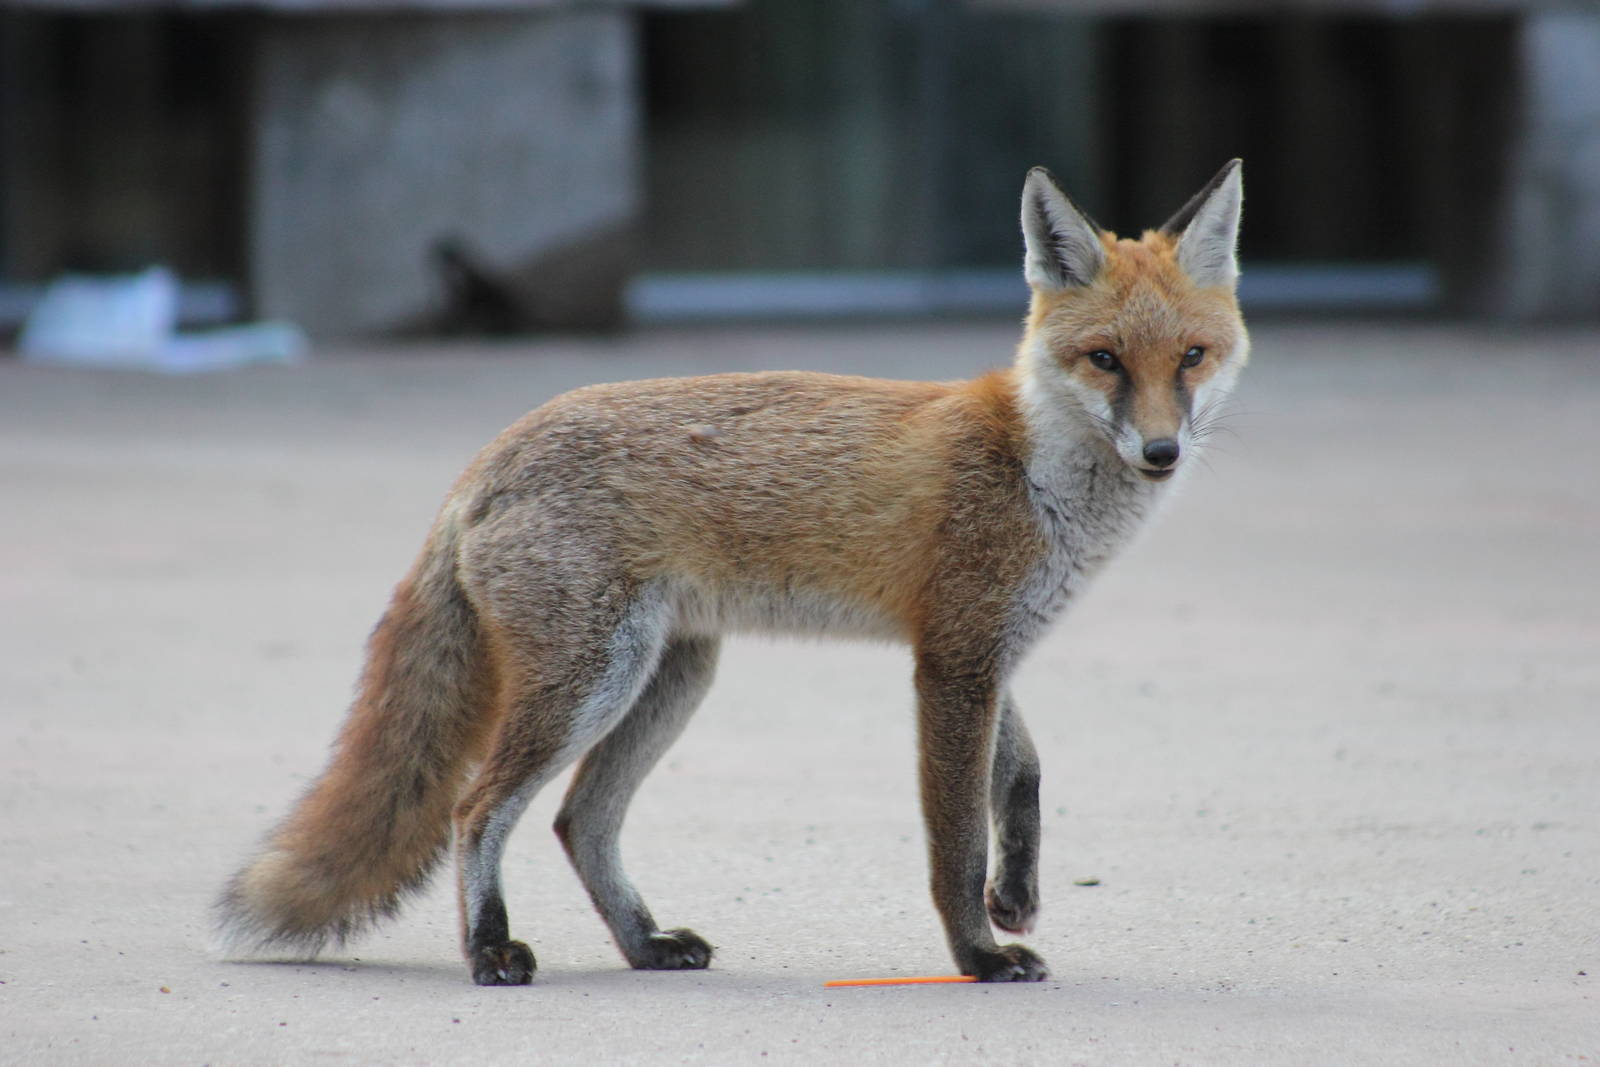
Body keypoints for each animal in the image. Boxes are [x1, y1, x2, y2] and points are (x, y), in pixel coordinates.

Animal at [217, 160, 1248, 985]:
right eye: (1105, 359)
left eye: (1192, 357)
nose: (1161, 452)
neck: (1033, 465)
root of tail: (490, 454)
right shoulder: (953, 663)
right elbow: (953, 839)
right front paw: (980, 954)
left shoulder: (979, 651)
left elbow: (1024, 773)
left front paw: (1017, 894)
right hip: (592, 681)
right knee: (478, 808)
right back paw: (490, 950)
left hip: (670, 678)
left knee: (579, 820)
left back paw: (644, 945)